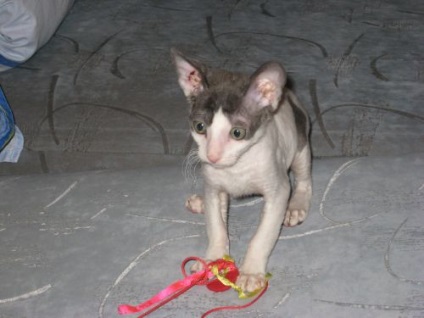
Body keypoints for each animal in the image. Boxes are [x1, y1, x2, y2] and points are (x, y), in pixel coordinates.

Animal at [171, 49, 314, 294]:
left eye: (237, 132)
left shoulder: (278, 190)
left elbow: (262, 235)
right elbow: (217, 226)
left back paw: (296, 207)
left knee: (304, 179)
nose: (212, 156)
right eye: (200, 127)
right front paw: (213, 260)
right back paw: (200, 202)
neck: (236, 168)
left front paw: (250, 272)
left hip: (300, 146)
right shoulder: (214, 187)